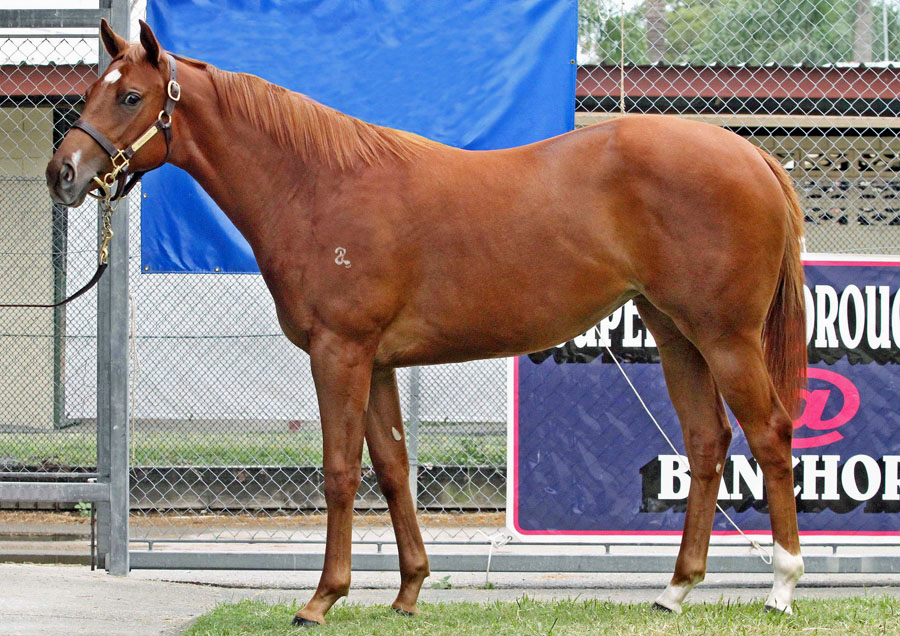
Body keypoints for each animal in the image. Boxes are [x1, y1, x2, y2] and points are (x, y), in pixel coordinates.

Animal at [46, 19, 807, 625]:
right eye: (91, 90)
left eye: (131, 96)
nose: (63, 174)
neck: (317, 184)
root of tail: (752, 154)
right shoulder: (378, 362)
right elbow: (392, 469)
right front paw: (408, 591)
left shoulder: (340, 353)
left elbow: (340, 472)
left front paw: (321, 599)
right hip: (677, 334)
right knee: (707, 443)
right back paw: (675, 591)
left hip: (726, 337)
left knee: (769, 436)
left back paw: (782, 586)